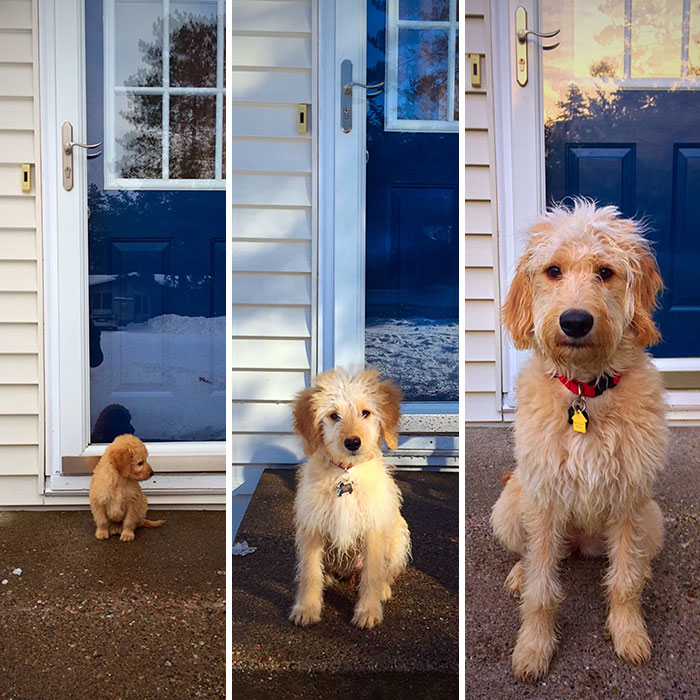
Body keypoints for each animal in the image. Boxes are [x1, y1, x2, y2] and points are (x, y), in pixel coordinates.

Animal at [288, 366, 410, 628]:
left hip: (398, 539)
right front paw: (307, 608)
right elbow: (310, 572)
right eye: (334, 415)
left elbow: (372, 574)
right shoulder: (312, 527)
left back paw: (383, 589)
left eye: (366, 413)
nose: (353, 442)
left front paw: (368, 612)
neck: (345, 473)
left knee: (385, 573)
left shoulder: (374, 528)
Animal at [492, 200, 668, 680]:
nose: (574, 321)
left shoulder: (629, 500)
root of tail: (582, 544)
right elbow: (541, 590)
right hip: (511, 506)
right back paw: (519, 573)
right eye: (553, 270)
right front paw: (533, 647)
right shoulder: (544, 498)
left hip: (653, 519)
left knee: (633, 561)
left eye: (606, 272)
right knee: (532, 555)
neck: (586, 392)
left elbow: (624, 582)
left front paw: (629, 634)